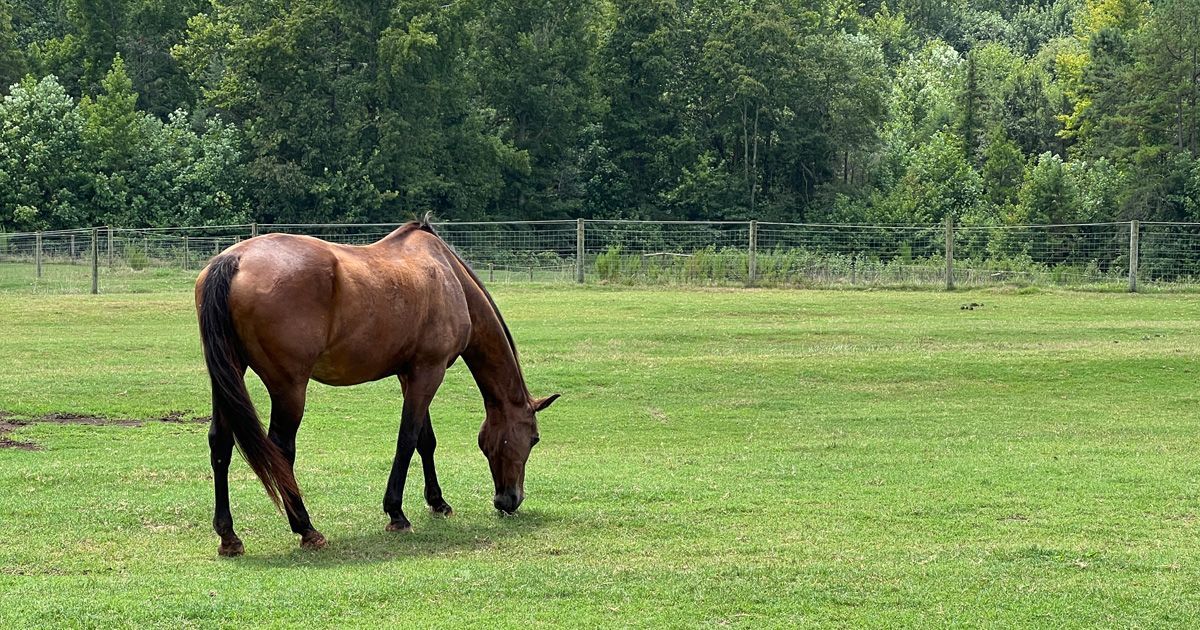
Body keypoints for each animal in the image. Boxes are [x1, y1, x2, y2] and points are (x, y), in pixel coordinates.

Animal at [194, 218, 559, 556]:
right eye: (534, 439)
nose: (509, 500)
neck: (450, 278)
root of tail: (234, 260)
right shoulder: (430, 371)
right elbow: (407, 439)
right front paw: (397, 513)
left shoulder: (410, 374)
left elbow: (425, 441)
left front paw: (437, 502)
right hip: (289, 388)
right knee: (281, 450)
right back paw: (306, 528)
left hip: (228, 378)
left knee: (221, 443)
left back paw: (229, 536)